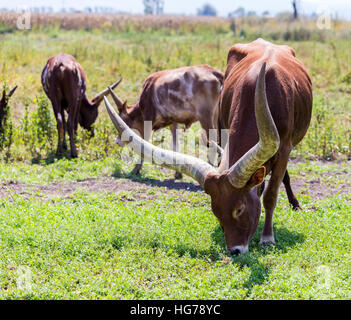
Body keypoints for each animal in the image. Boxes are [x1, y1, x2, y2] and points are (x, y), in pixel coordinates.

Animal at [105, 38, 314, 255]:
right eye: (216, 212)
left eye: (240, 209)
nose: (234, 250)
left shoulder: (284, 149)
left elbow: (271, 195)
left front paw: (267, 237)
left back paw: (294, 204)